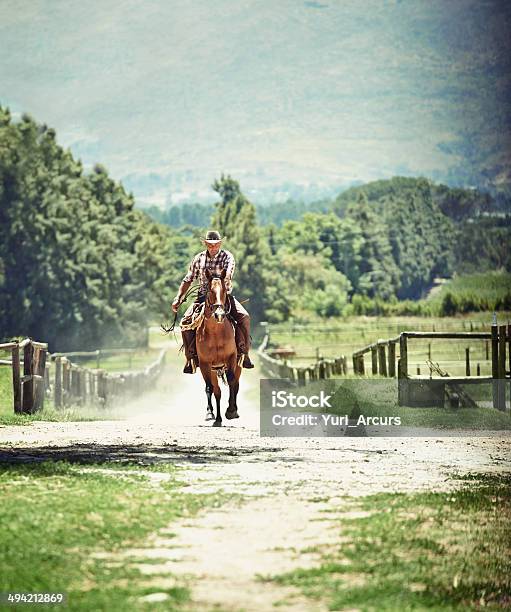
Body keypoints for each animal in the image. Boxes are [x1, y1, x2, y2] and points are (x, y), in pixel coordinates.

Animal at [198, 270, 242, 428]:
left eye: (224, 291)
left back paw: (233, 410)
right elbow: (210, 388)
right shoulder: (205, 364)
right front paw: (211, 414)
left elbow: (231, 381)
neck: (216, 333)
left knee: (236, 384)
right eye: (210, 291)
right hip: (213, 369)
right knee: (216, 391)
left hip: (238, 365)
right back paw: (217, 418)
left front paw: (231, 410)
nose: (219, 315)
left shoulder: (231, 358)